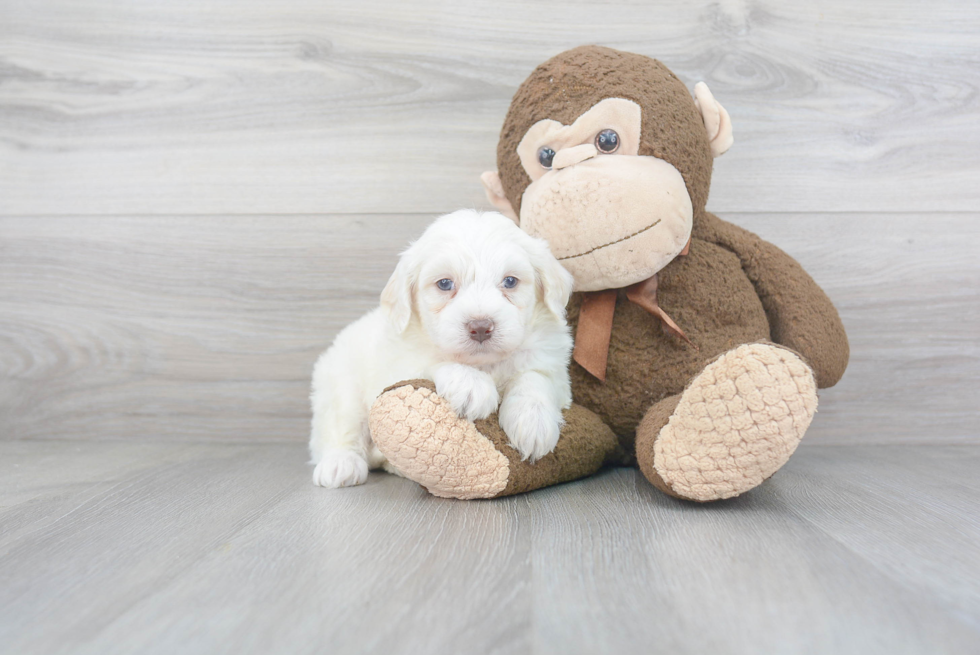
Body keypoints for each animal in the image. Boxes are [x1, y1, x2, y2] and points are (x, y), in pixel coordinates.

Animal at [310, 209, 580, 486]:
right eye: (444, 284)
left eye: (510, 281)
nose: (480, 327)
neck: (484, 363)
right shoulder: (398, 364)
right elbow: (433, 361)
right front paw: (471, 384)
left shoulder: (554, 368)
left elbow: (534, 377)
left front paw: (533, 422)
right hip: (340, 386)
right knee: (340, 428)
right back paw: (340, 464)